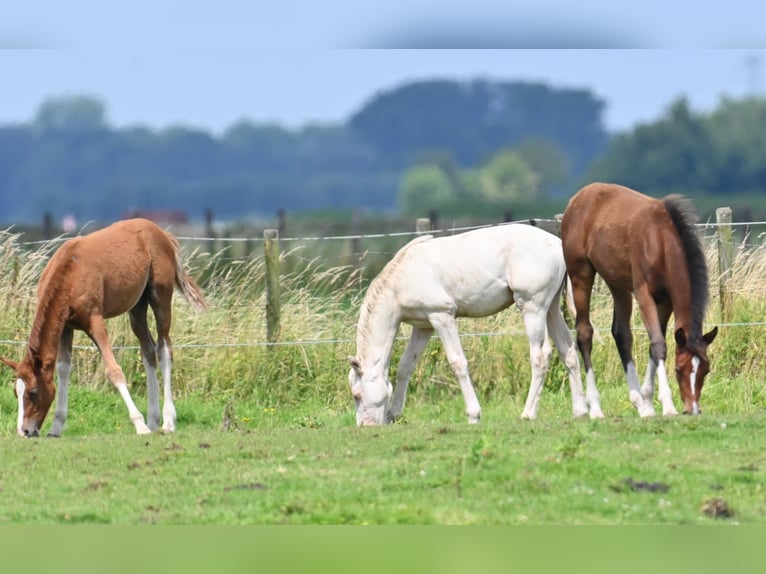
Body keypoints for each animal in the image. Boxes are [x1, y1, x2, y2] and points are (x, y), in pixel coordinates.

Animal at [0, 218, 207, 438]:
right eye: (16, 393)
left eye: (33, 392)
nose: (24, 431)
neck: (69, 273)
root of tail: (161, 232)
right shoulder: (66, 327)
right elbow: (63, 369)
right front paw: (56, 427)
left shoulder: (95, 322)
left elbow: (114, 371)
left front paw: (139, 424)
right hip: (136, 307)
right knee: (148, 350)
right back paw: (153, 420)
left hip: (161, 296)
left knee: (164, 349)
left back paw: (167, 422)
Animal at [348, 224, 608, 428]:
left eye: (357, 394)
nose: (366, 426)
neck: (402, 279)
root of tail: (557, 245)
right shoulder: (424, 326)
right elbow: (405, 366)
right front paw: (394, 414)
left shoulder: (442, 316)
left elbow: (457, 363)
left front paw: (474, 415)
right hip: (552, 308)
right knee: (568, 350)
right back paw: (579, 411)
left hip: (533, 308)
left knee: (541, 355)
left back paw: (528, 413)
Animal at [560, 184, 720, 418]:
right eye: (678, 369)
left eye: (706, 370)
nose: (692, 409)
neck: (660, 240)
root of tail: (577, 198)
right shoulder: (644, 294)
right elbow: (659, 344)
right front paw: (668, 406)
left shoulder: (666, 302)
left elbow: (655, 344)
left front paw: (648, 401)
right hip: (581, 275)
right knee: (584, 334)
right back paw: (595, 408)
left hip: (616, 284)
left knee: (621, 333)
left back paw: (639, 404)